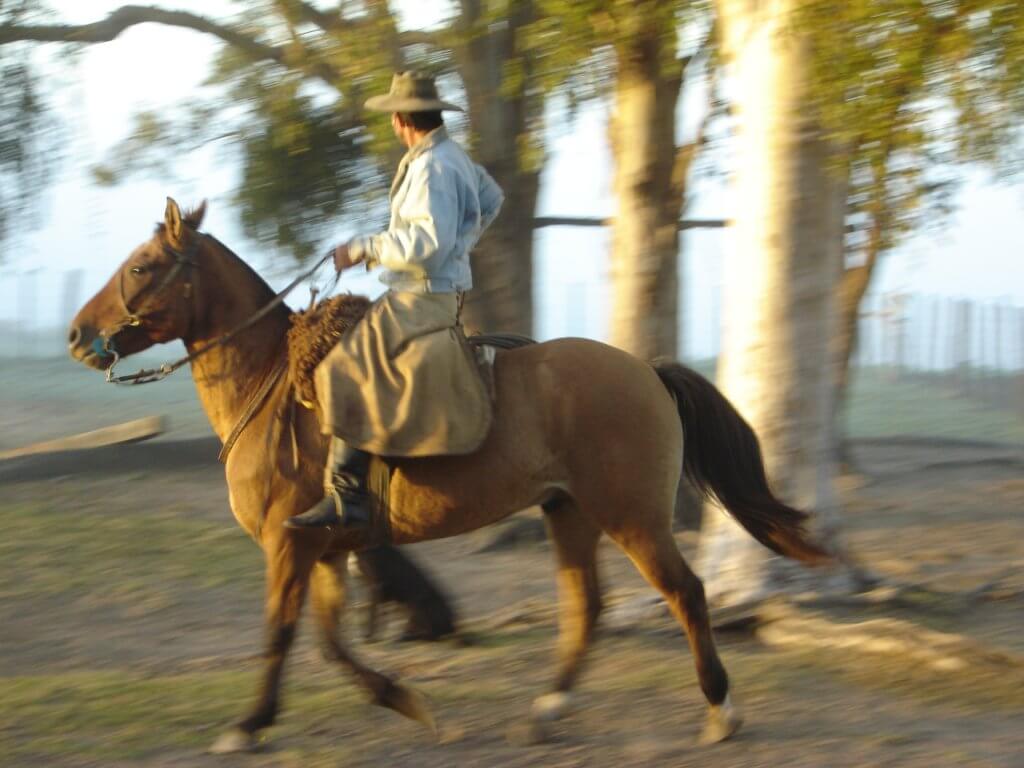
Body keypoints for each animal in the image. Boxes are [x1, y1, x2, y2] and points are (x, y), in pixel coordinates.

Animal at [68, 199, 827, 757]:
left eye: (143, 266)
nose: (77, 336)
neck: (273, 380)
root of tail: (646, 369)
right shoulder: (322, 549)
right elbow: (330, 643)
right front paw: (408, 701)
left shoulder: (290, 546)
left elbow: (281, 635)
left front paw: (248, 725)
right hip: (570, 513)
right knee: (586, 609)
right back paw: (547, 710)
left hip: (631, 516)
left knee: (685, 593)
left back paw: (721, 709)